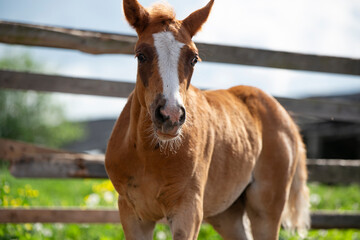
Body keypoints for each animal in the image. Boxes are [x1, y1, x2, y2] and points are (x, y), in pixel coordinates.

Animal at [105, 0, 310, 239]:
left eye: (193, 58)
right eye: (141, 55)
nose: (170, 116)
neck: (149, 155)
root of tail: (285, 116)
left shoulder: (188, 211)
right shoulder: (132, 214)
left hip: (266, 208)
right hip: (226, 213)